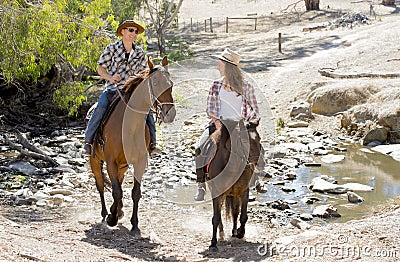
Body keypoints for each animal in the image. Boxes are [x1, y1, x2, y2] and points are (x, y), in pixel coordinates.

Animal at [88, 56, 176, 236]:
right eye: (155, 83)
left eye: (170, 83)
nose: (170, 114)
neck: (129, 125)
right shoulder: (111, 162)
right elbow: (116, 191)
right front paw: (112, 218)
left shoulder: (139, 161)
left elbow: (134, 192)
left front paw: (134, 225)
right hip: (95, 161)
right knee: (100, 185)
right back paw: (105, 214)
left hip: (123, 166)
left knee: (118, 182)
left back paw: (119, 210)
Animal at [205, 119, 264, 252]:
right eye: (244, 141)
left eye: (259, 139)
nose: (260, 163)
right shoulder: (217, 192)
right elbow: (216, 217)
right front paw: (213, 243)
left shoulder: (243, 191)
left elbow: (242, 216)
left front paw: (240, 232)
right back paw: (221, 234)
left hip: (234, 194)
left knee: (235, 213)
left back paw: (233, 232)